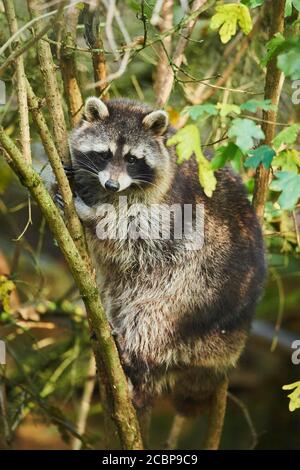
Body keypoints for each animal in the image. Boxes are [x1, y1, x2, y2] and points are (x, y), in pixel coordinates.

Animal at [67, 98, 264, 414]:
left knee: (152, 320)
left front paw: (93, 215)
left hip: (196, 294)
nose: (111, 185)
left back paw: (135, 363)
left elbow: (135, 234)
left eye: (132, 159)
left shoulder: (172, 209)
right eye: (104, 154)